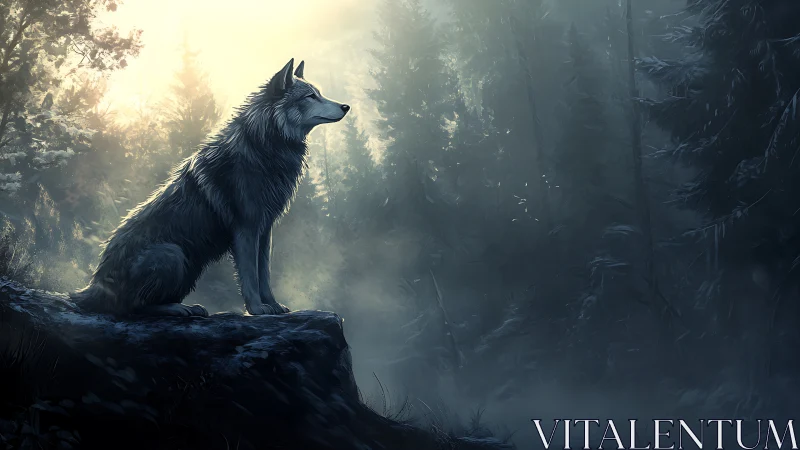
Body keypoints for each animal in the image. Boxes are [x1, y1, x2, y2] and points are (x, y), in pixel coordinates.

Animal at [70, 59, 349, 317]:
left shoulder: (265, 230)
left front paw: (274, 305)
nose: (346, 106)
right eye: (310, 96)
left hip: (189, 268)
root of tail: (92, 287)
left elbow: (265, 275)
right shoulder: (246, 229)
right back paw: (179, 309)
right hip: (172, 254)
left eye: (319, 93)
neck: (264, 147)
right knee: (134, 308)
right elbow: (250, 276)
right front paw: (257, 309)